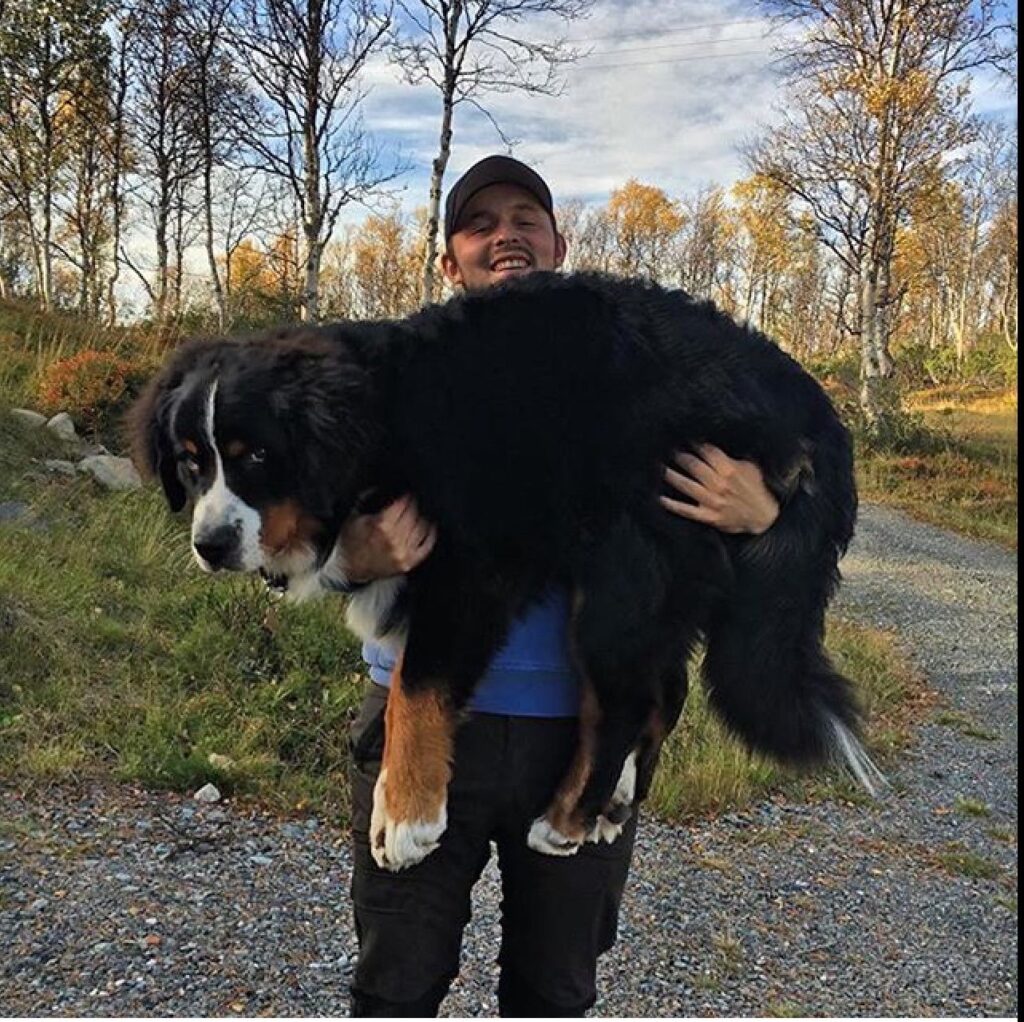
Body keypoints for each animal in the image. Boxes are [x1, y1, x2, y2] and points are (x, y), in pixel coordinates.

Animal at [128, 270, 880, 872]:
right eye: (191, 461)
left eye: (255, 456)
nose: (211, 543)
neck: (382, 423)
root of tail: (810, 404)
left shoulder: (469, 571)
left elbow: (415, 688)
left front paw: (406, 817)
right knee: (661, 691)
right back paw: (611, 799)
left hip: (626, 574)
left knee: (624, 700)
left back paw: (567, 819)